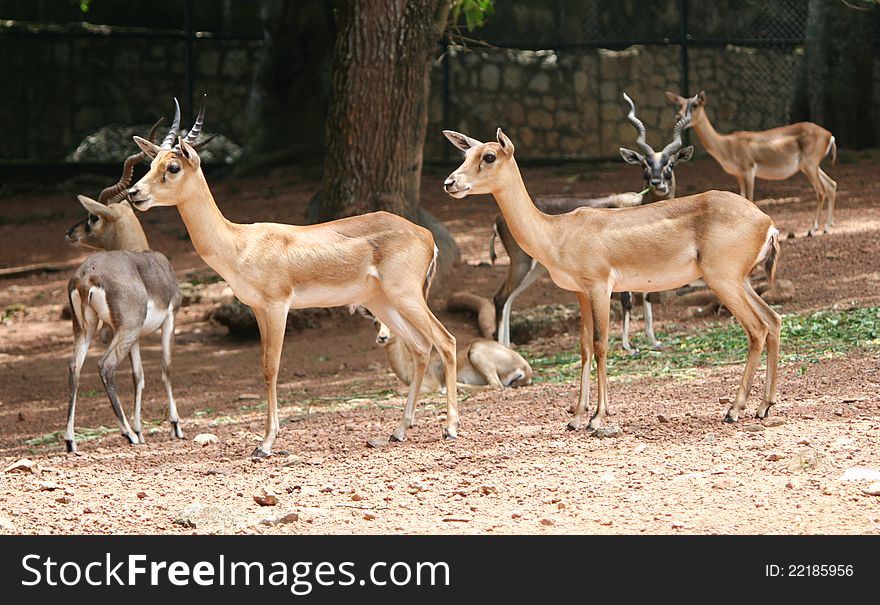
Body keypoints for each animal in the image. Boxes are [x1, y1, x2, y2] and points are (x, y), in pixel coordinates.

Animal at [65, 118, 186, 450]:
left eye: (92, 217)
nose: (70, 232)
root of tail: (86, 275)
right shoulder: (169, 319)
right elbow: (166, 368)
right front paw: (174, 425)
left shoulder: (138, 337)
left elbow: (138, 376)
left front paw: (142, 428)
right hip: (124, 330)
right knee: (104, 366)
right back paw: (127, 434)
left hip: (88, 329)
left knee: (74, 367)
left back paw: (71, 440)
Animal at [131, 96, 464, 456]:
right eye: (151, 163)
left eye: (173, 167)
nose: (135, 193)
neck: (240, 243)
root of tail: (425, 235)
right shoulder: (257, 309)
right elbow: (264, 366)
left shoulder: (278, 305)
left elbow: (272, 366)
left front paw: (265, 443)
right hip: (383, 302)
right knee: (420, 348)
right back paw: (399, 430)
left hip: (406, 295)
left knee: (446, 341)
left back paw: (450, 428)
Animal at [372, 316, 528, 392]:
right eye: (376, 322)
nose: (382, 337)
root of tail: (525, 368)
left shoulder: (430, 385)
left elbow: (399, 391)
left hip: (476, 353)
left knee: (495, 385)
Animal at [492, 91, 692, 354]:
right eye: (645, 164)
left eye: (670, 163)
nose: (657, 182)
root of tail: (499, 217)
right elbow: (627, 300)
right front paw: (629, 346)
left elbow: (647, 295)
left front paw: (654, 340)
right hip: (522, 263)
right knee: (500, 298)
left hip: (537, 269)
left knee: (510, 299)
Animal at [668, 89, 840, 236]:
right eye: (681, 104)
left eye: (695, 105)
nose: (678, 117)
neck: (727, 144)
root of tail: (828, 135)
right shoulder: (738, 175)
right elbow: (742, 198)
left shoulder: (749, 171)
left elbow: (749, 198)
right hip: (810, 167)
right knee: (831, 185)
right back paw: (827, 227)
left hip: (810, 166)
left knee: (821, 191)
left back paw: (812, 229)